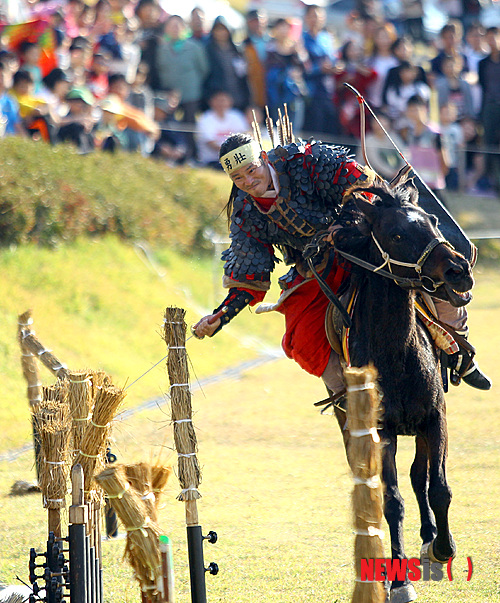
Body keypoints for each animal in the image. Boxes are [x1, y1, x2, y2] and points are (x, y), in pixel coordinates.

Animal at [328, 179, 472, 603]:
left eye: (432, 220)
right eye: (395, 234)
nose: (458, 270)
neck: (396, 356)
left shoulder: (434, 419)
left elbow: (437, 487)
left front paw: (443, 546)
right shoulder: (383, 431)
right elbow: (391, 501)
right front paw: (398, 580)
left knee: (418, 475)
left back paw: (429, 536)